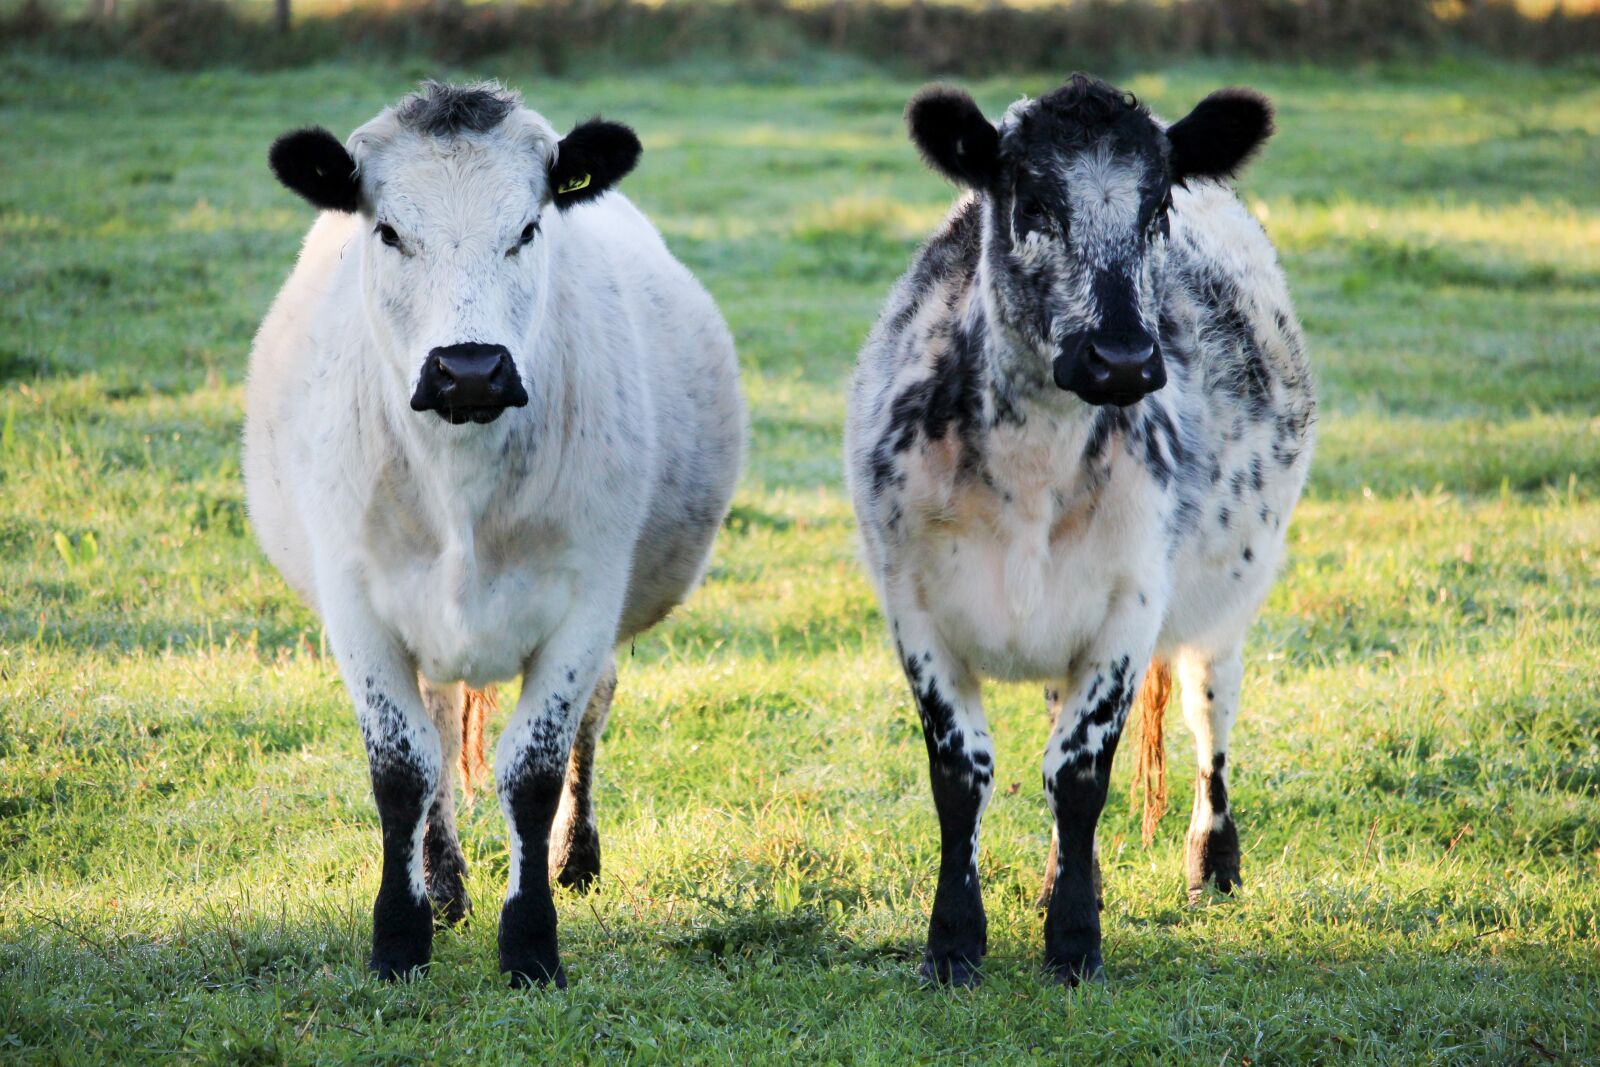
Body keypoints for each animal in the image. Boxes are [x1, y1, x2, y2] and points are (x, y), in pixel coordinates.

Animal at [244, 81, 745, 987]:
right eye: (388, 231)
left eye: (529, 228)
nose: (469, 369)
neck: (460, 487)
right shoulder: (357, 604)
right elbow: (402, 767)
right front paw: (401, 932)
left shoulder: (586, 601)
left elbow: (535, 771)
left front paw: (532, 940)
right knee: (442, 728)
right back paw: (444, 882)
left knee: (590, 715)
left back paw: (574, 859)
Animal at [844, 74, 1315, 986]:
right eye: (1032, 199)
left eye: (1158, 204)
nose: (1122, 359)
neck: (1033, 471)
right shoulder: (914, 607)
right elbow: (962, 773)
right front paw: (954, 942)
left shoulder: (1130, 606)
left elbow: (1079, 774)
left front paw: (1072, 943)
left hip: (1225, 600)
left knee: (1211, 712)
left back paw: (1212, 860)